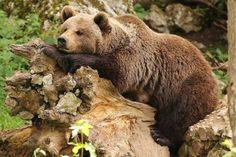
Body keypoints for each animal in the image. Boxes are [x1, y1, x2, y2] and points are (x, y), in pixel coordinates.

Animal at [41, 6, 218, 152]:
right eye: (65, 28)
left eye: (79, 32)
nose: (62, 40)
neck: (113, 43)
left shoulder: (132, 59)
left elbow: (112, 71)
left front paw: (49, 49)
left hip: (188, 85)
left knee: (184, 111)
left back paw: (161, 135)